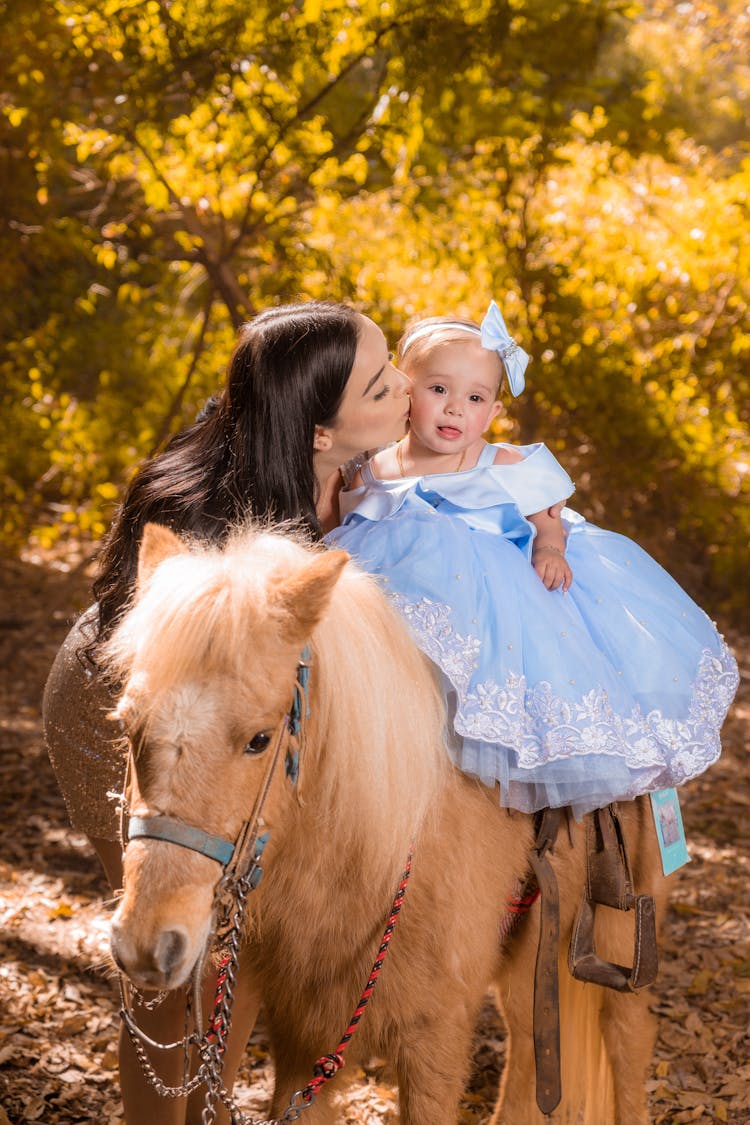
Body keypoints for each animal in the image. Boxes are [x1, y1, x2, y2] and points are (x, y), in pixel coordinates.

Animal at [105, 522, 670, 1120]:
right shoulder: (301, 1042)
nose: (146, 945)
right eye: (129, 725)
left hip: (617, 944)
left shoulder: (434, 1043)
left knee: (627, 1048)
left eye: (259, 739)